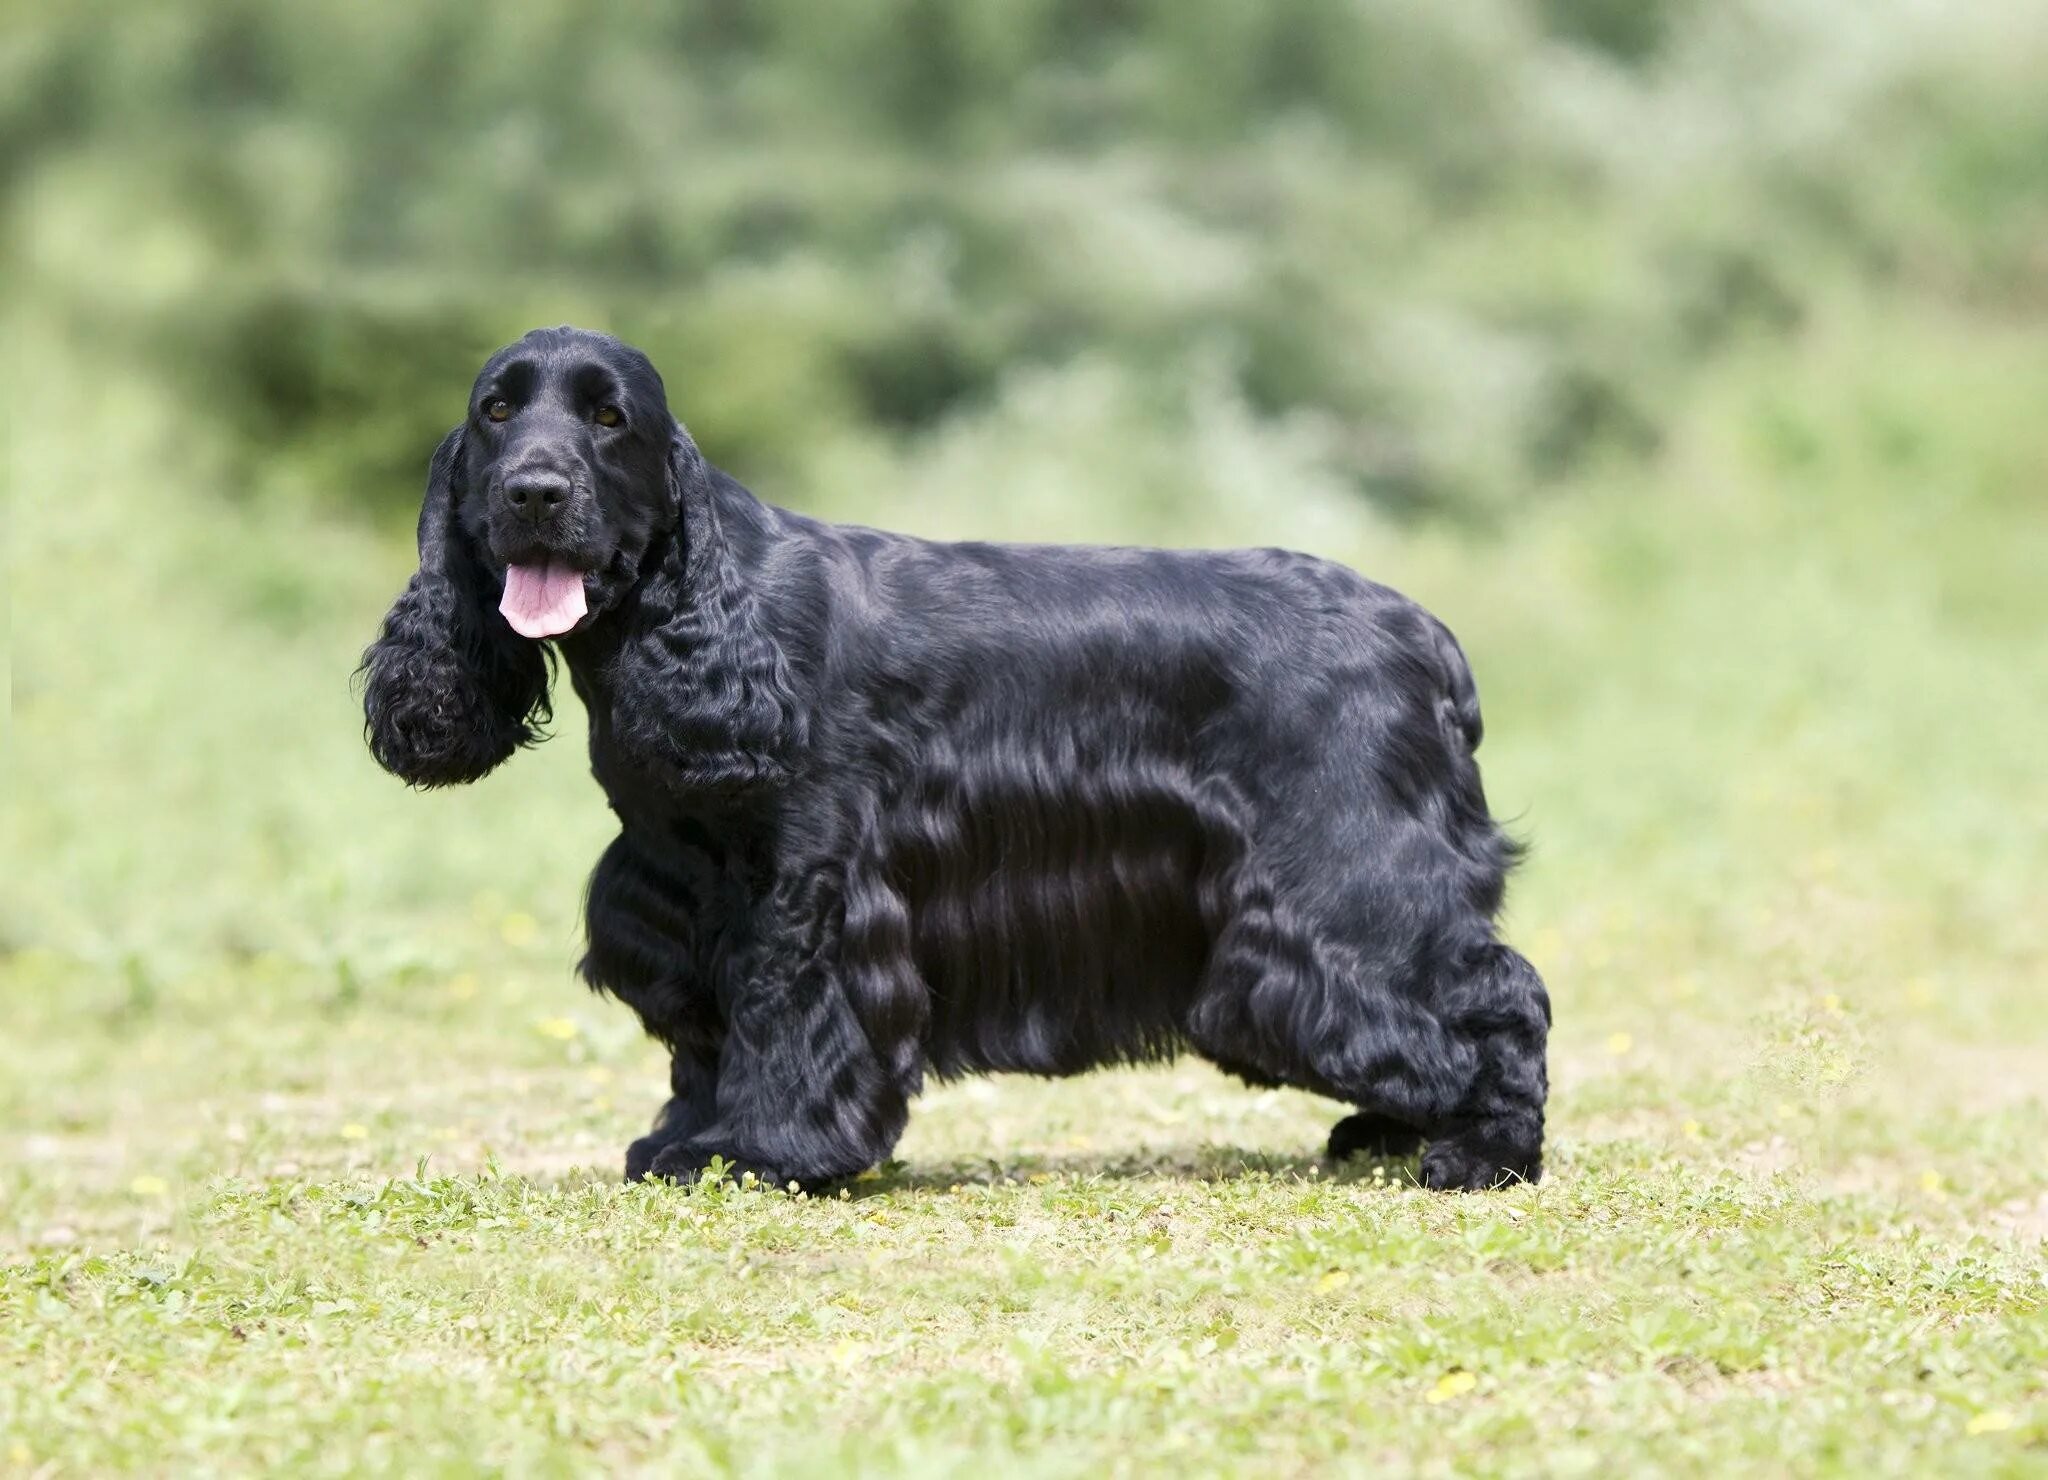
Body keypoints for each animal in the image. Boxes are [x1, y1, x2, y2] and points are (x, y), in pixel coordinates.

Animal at [364, 323, 1548, 1195]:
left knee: (1498, 995)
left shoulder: (811, 883)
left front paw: (763, 1150)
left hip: (1343, 883)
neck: (694, 611)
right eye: (496, 411)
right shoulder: (679, 886)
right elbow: (705, 1028)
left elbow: (782, 1008)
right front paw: (684, 1139)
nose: (534, 492)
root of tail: (1423, 633)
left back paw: (1477, 1154)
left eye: (609, 418)